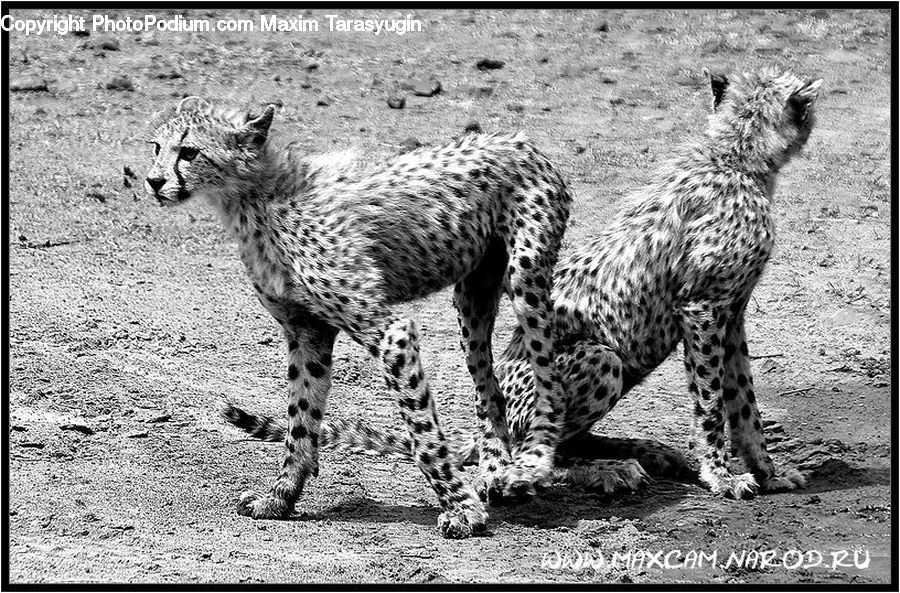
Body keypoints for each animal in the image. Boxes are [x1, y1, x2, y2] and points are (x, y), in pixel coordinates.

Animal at [144, 97, 572, 538]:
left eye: (189, 151)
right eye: (156, 147)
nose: (153, 181)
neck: (255, 198)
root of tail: (518, 139)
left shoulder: (391, 334)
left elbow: (422, 432)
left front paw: (461, 509)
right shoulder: (307, 332)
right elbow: (301, 418)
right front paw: (280, 497)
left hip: (525, 279)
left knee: (550, 379)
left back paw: (531, 467)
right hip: (472, 301)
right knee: (490, 387)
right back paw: (495, 468)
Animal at [224, 67, 822, 500]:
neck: (735, 155)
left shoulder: (731, 311)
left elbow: (743, 399)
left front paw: (769, 472)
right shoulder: (702, 309)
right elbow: (712, 403)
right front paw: (722, 475)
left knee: (564, 442)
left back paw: (642, 454)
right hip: (600, 357)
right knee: (537, 450)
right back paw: (600, 472)